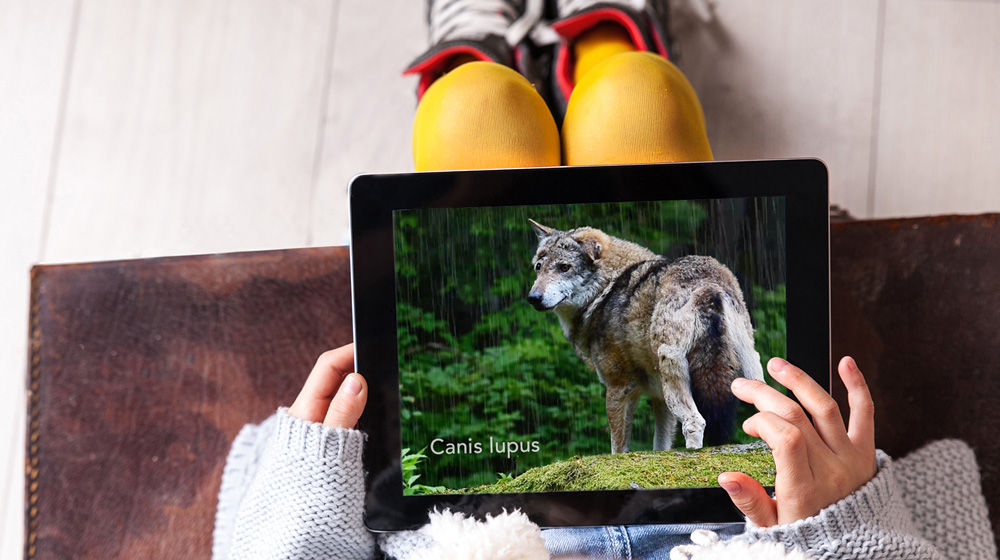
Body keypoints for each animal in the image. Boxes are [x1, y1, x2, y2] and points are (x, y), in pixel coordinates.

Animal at [526, 219, 765, 452]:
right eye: (538, 268)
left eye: (564, 267)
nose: (533, 298)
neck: (605, 290)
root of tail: (706, 287)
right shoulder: (658, 400)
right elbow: (660, 446)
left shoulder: (618, 387)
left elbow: (618, 447)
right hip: (750, 368)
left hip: (672, 375)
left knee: (695, 423)